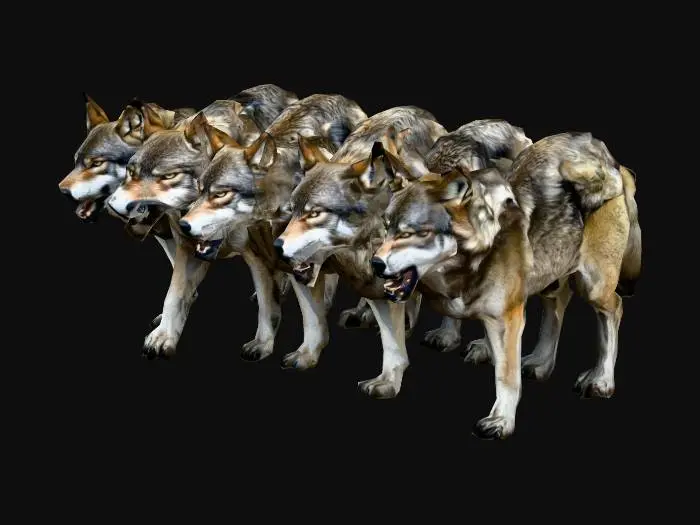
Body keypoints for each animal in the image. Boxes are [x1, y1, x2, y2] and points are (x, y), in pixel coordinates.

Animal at [113, 94, 367, 359]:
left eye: (168, 176)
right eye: (131, 172)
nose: (115, 205)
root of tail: (340, 98)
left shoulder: (257, 256)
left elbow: (272, 306)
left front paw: (267, 345)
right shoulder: (190, 250)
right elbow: (174, 295)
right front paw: (163, 337)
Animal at [272, 106, 448, 396]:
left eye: (314, 213)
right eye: (293, 210)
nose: (277, 245)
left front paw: (388, 381)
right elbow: (313, 320)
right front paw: (307, 355)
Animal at [371, 131, 641, 439]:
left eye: (409, 233)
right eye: (387, 227)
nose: (375, 263)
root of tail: (619, 167)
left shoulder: (507, 318)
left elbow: (506, 376)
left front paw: (501, 420)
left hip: (594, 287)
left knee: (615, 308)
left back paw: (601, 380)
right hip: (550, 281)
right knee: (557, 306)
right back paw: (540, 363)